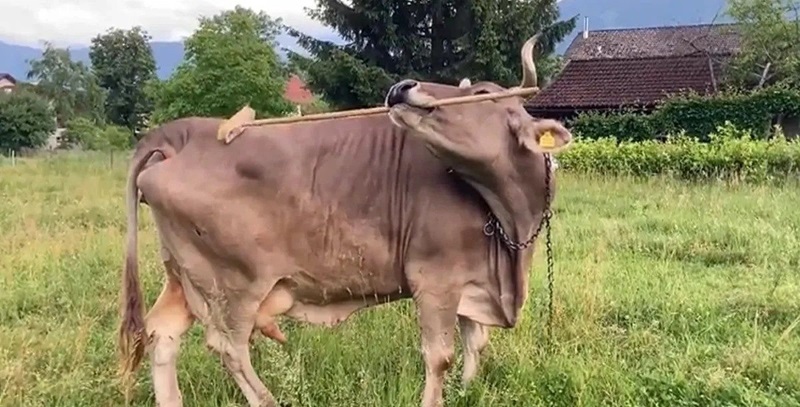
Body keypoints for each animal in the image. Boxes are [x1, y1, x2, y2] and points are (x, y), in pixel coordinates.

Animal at [118, 33, 574, 407]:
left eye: (481, 92)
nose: (402, 86)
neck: (510, 223)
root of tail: (182, 133)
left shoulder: (473, 282)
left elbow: (475, 344)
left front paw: (468, 390)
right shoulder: (435, 278)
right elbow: (440, 356)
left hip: (184, 276)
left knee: (163, 332)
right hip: (233, 284)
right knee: (227, 346)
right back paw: (269, 399)